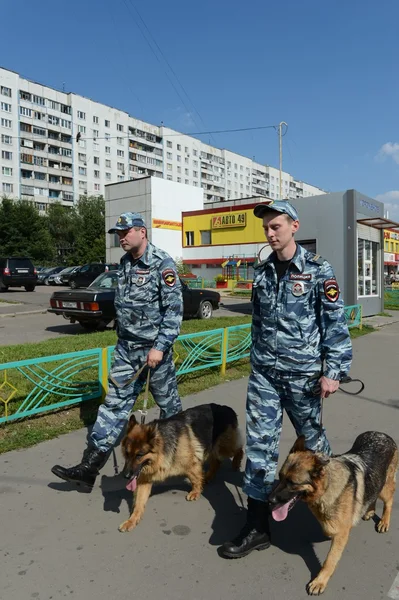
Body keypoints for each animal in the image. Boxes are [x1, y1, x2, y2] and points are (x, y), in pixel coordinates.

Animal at [270, 432, 398, 596]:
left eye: (292, 483)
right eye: (280, 477)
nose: (269, 500)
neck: (327, 486)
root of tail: (382, 434)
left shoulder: (341, 535)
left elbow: (329, 560)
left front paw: (320, 581)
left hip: (384, 487)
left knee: (389, 500)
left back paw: (384, 521)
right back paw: (369, 511)